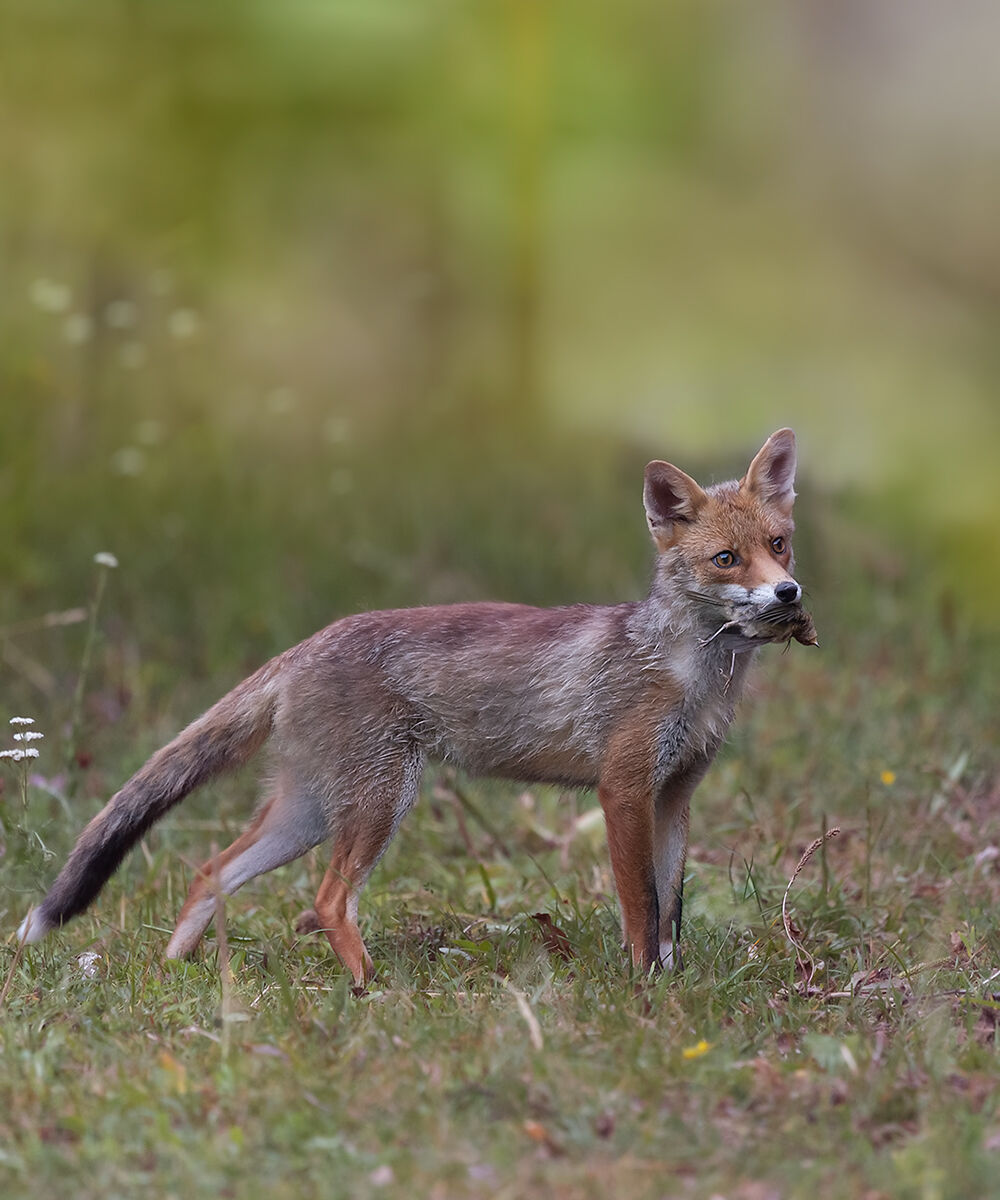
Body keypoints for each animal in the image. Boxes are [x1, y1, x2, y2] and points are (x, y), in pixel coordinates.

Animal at [17, 428, 816, 983]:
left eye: (779, 545)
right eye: (726, 560)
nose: (788, 594)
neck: (691, 675)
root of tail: (303, 645)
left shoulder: (675, 793)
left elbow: (671, 905)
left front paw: (673, 984)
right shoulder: (624, 789)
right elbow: (641, 907)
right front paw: (643, 989)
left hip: (310, 811)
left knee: (211, 869)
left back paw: (179, 971)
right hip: (379, 801)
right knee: (326, 900)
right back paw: (371, 988)